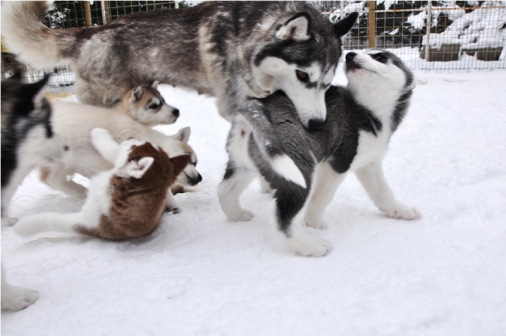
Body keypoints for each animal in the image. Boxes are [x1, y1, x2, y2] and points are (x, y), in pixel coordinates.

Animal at [219, 49, 422, 255]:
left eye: (380, 57)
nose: (350, 54)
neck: (368, 108)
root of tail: (257, 106)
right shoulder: (336, 163)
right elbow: (322, 197)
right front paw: (313, 223)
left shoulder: (368, 164)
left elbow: (383, 191)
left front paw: (400, 210)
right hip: (300, 169)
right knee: (280, 217)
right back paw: (312, 246)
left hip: (246, 165)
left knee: (225, 192)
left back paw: (238, 215)